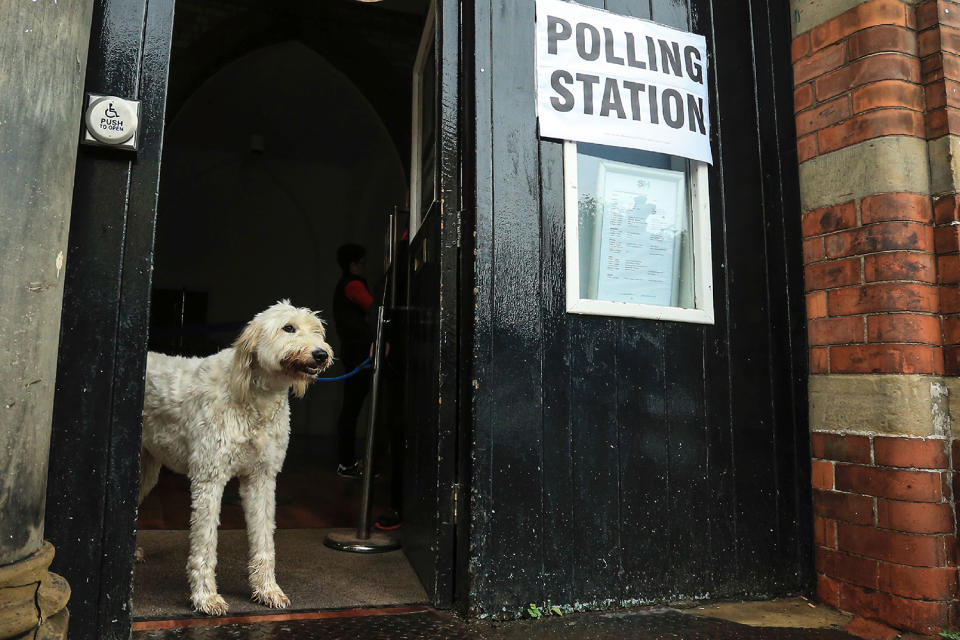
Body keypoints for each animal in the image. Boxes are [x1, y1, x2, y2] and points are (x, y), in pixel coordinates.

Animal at [137, 302, 334, 616]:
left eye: (317, 331)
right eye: (288, 328)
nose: (321, 354)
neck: (258, 396)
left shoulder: (261, 479)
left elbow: (265, 540)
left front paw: (267, 590)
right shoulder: (209, 479)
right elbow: (205, 544)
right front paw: (205, 597)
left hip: (146, 469)